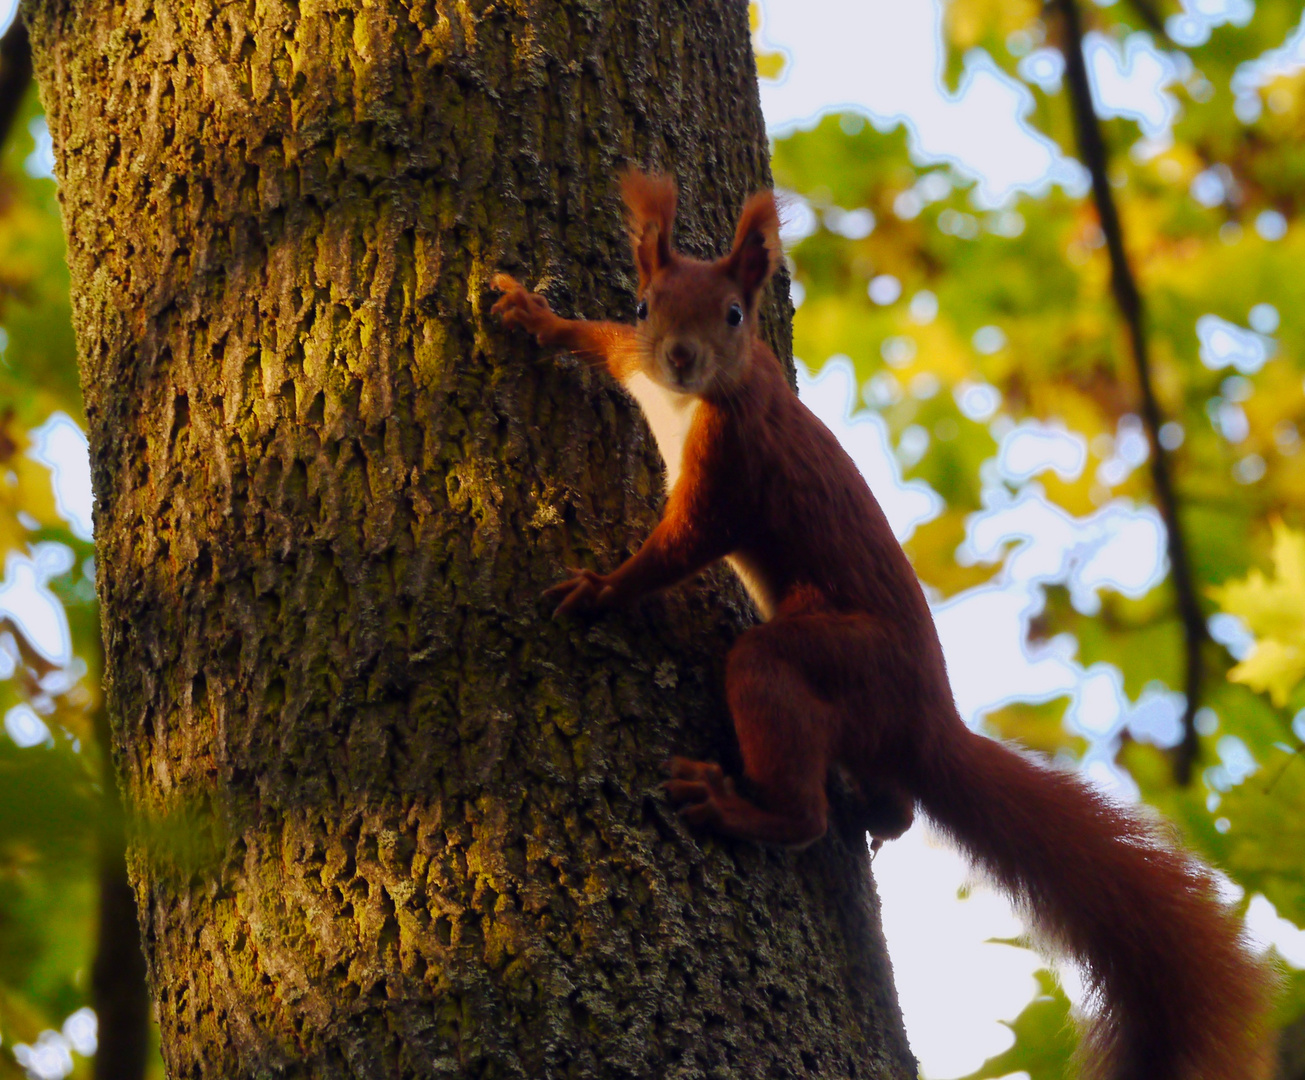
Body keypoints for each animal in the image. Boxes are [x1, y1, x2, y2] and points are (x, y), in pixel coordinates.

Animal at [490, 170, 1273, 1080]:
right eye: (647, 305)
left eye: (733, 314)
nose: (681, 358)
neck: (689, 399)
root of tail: (931, 723)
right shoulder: (635, 363)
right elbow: (601, 341)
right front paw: (534, 315)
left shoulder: (734, 464)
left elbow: (680, 546)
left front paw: (600, 589)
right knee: (894, 802)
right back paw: (878, 810)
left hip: (830, 659)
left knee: (788, 760)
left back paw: (749, 808)